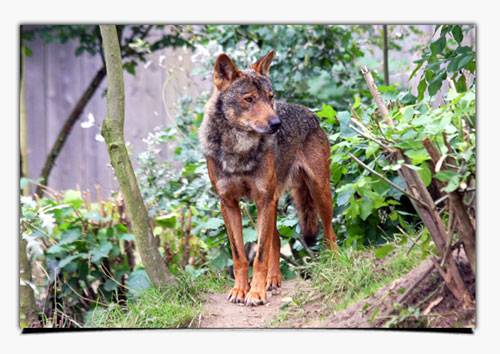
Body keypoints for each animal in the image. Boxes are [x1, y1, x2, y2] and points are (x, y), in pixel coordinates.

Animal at [198, 50, 336, 306]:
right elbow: (240, 255)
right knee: (277, 239)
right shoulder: (228, 203)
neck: (239, 151)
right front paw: (240, 290)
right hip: (270, 202)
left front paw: (256, 293)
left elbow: (259, 256)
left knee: (329, 232)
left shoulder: (263, 199)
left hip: (317, 192)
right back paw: (274, 280)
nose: (276, 123)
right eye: (249, 99)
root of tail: (310, 112)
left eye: (270, 97)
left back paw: (335, 261)